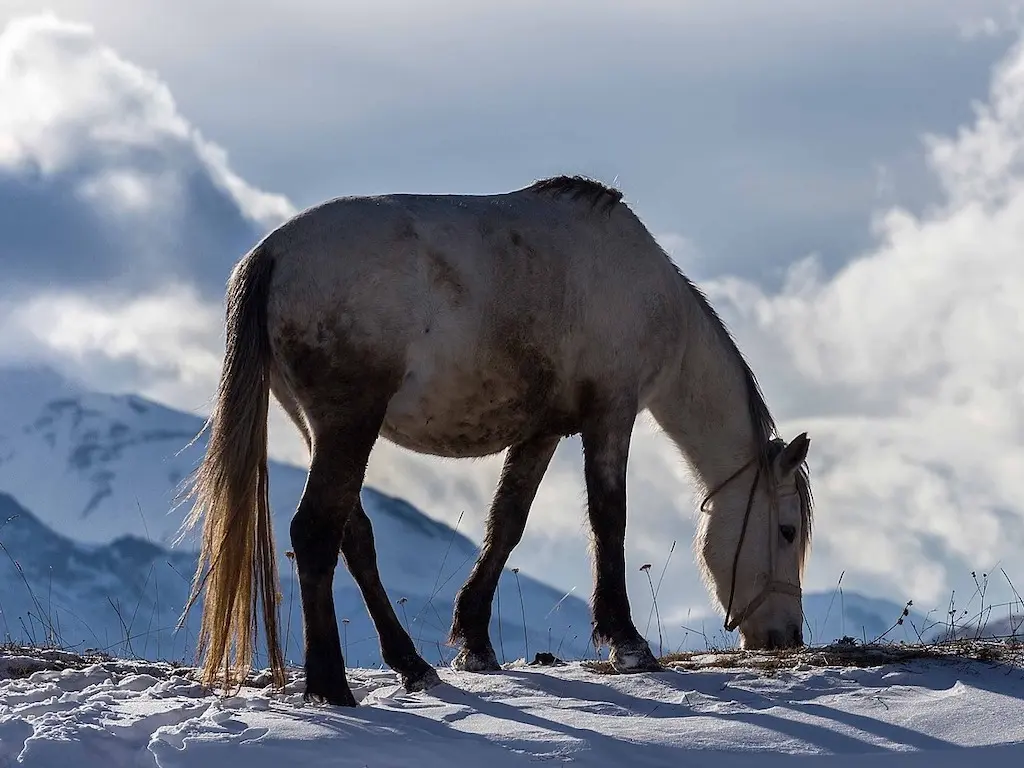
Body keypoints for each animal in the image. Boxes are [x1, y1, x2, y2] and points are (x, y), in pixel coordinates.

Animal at [178, 174, 815, 708]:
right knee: (315, 533)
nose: (785, 636)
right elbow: (609, 518)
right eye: (786, 531)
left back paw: (411, 665)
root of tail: (272, 253)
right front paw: (627, 641)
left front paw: (476, 641)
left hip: (322, 431)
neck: (643, 287)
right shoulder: (611, 415)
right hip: (347, 427)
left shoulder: (543, 431)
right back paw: (331, 685)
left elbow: (507, 522)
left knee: (352, 537)